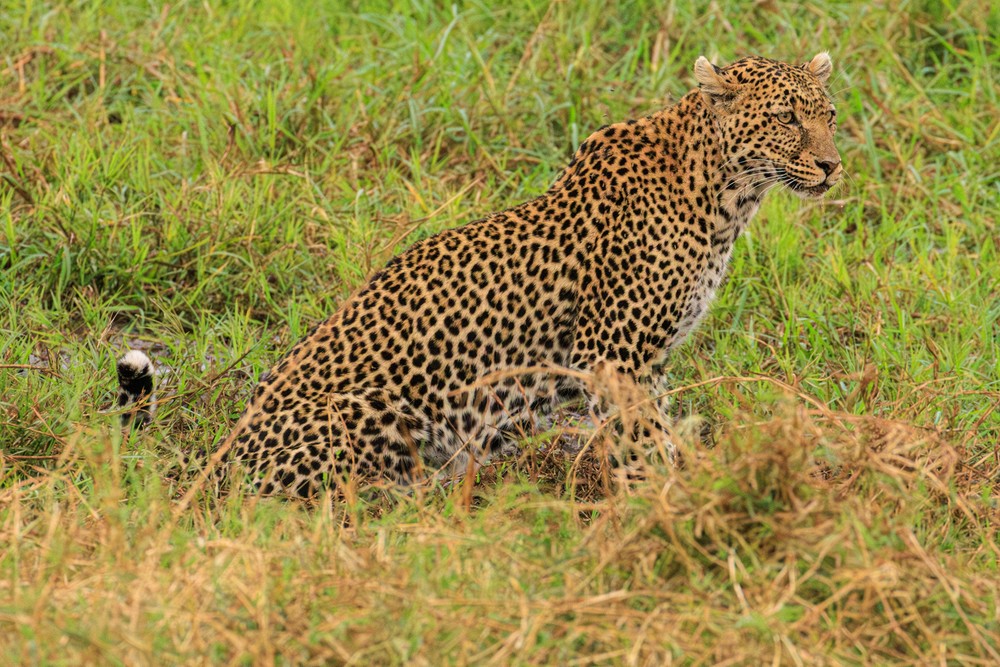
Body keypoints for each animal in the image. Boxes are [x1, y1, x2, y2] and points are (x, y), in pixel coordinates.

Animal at [119, 53, 842, 498]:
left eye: (828, 115)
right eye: (785, 118)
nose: (833, 165)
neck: (727, 196)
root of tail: (223, 454)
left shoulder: (647, 363)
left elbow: (653, 430)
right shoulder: (615, 355)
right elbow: (644, 444)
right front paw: (671, 500)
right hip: (370, 411)